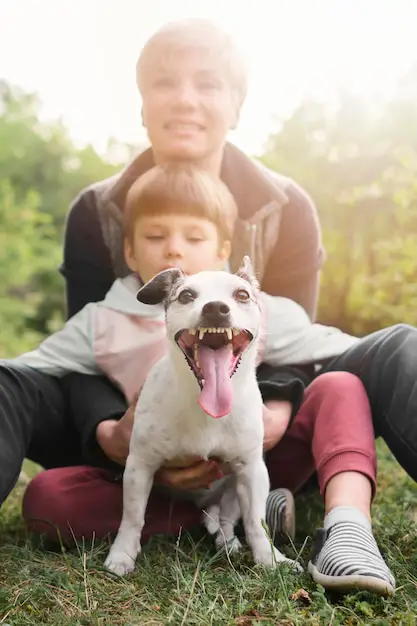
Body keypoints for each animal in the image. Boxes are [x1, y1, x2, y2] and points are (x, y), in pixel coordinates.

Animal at [103, 256, 300, 572]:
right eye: (186, 296)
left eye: (242, 295)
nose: (216, 308)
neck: (203, 404)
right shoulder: (139, 467)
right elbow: (132, 517)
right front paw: (122, 554)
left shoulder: (252, 471)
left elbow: (256, 522)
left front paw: (269, 559)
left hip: (234, 489)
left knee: (227, 517)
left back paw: (228, 541)